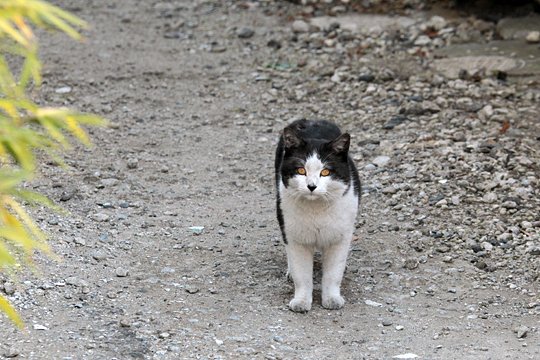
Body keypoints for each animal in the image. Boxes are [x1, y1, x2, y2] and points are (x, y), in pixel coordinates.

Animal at [276, 119, 360, 312]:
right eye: (301, 170)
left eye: (325, 172)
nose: (311, 186)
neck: (316, 211)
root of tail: (309, 120)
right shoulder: (295, 236)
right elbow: (302, 275)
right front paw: (301, 302)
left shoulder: (340, 237)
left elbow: (333, 274)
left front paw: (332, 299)